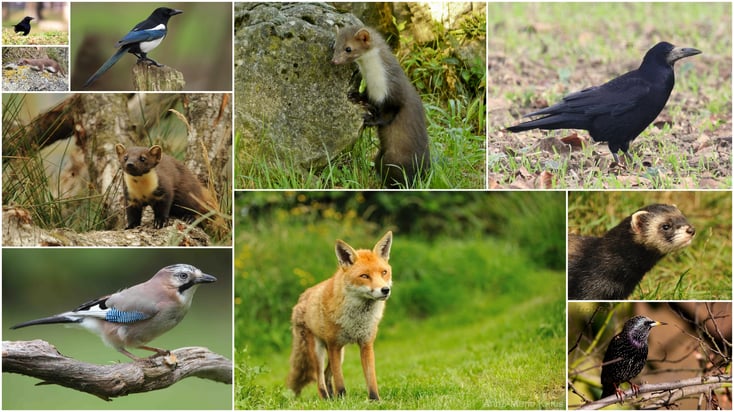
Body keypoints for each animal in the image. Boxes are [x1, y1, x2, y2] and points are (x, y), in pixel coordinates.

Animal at [287, 231, 393, 401]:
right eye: (365, 276)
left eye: (384, 272)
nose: (385, 290)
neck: (357, 319)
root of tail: (303, 296)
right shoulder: (334, 345)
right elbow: (340, 381)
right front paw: (343, 400)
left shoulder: (366, 343)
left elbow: (371, 378)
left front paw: (375, 400)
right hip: (319, 351)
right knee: (320, 379)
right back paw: (326, 399)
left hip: (339, 353)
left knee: (326, 375)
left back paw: (332, 398)